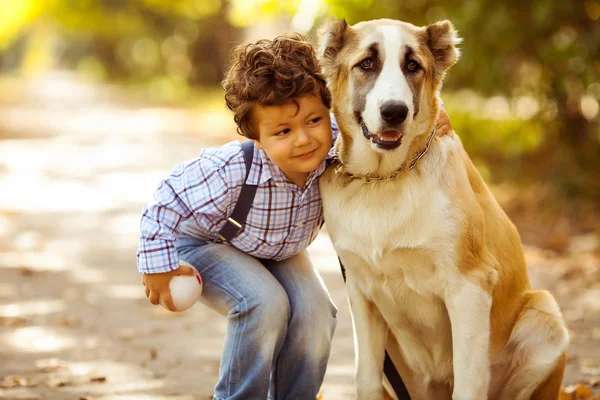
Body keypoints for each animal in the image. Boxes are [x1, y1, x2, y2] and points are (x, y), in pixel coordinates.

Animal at [316, 17, 568, 398]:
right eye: (367, 63)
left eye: (412, 66)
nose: (395, 112)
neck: (385, 181)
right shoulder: (361, 293)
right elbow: (366, 379)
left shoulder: (469, 288)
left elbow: (467, 383)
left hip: (545, 314)